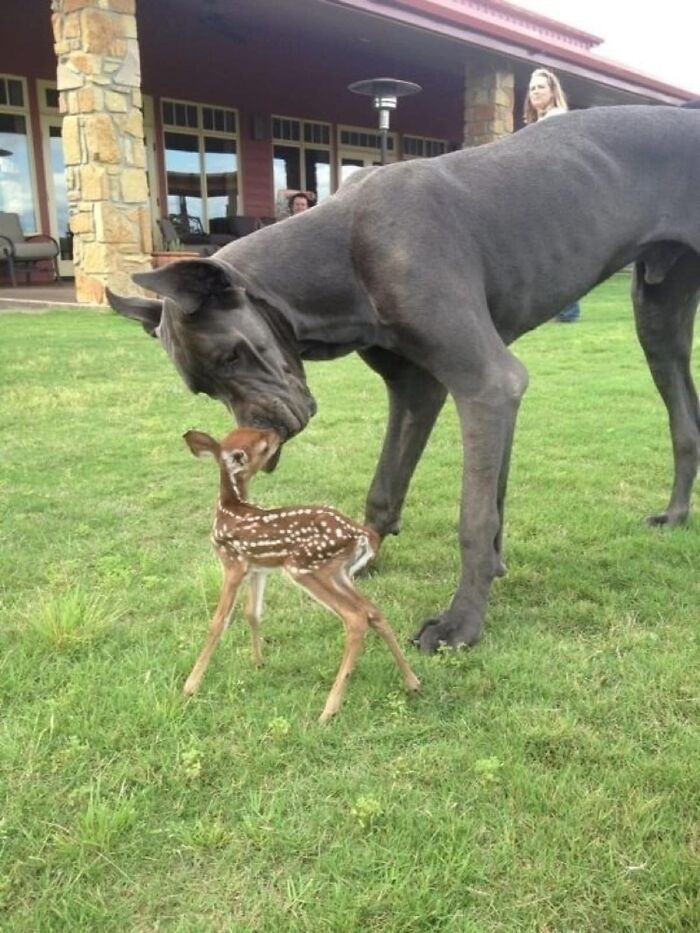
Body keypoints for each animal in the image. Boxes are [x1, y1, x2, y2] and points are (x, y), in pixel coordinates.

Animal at [182, 426, 421, 723]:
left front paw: (190, 686)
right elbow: (252, 612)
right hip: (339, 573)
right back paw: (413, 682)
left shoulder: (233, 562)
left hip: (306, 567)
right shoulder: (257, 567)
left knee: (355, 617)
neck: (229, 509)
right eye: (261, 442)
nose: (276, 432)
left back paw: (329, 710)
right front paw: (258, 661)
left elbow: (219, 621)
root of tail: (362, 535)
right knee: (373, 611)